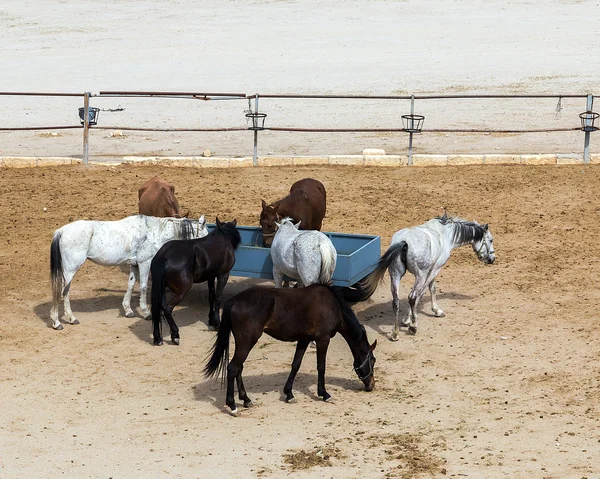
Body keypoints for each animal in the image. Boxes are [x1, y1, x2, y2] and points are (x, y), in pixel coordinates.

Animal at [49, 215, 209, 330]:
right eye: (205, 235)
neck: (153, 232)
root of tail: (61, 232)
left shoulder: (134, 265)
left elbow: (131, 285)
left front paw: (128, 310)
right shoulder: (145, 263)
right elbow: (143, 287)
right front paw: (146, 312)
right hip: (70, 271)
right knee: (62, 292)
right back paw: (60, 322)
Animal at [204, 284, 378, 416]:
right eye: (373, 360)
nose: (371, 385)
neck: (333, 306)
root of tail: (234, 300)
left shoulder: (304, 340)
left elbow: (296, 365)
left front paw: (289, 394)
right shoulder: (323, 339)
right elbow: (321, 367)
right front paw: (324, 394)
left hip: (244, 343)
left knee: (238, 368)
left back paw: (246, 400)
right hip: (247, 342)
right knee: (233, 368)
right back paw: (233, 406)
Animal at [358, 212, 494, 340]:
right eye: (491, 240)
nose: (492, 259)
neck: (446, 233)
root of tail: (404, 242)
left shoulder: (430, 270)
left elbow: (427, 289)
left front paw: (409, 319)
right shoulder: (435, 269)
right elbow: (427, 290)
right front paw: (423, 315)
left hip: (395, 275)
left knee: (396, 301)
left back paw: (395, 333)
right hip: (420, 275)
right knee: (412, 296)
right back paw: (413, 327)